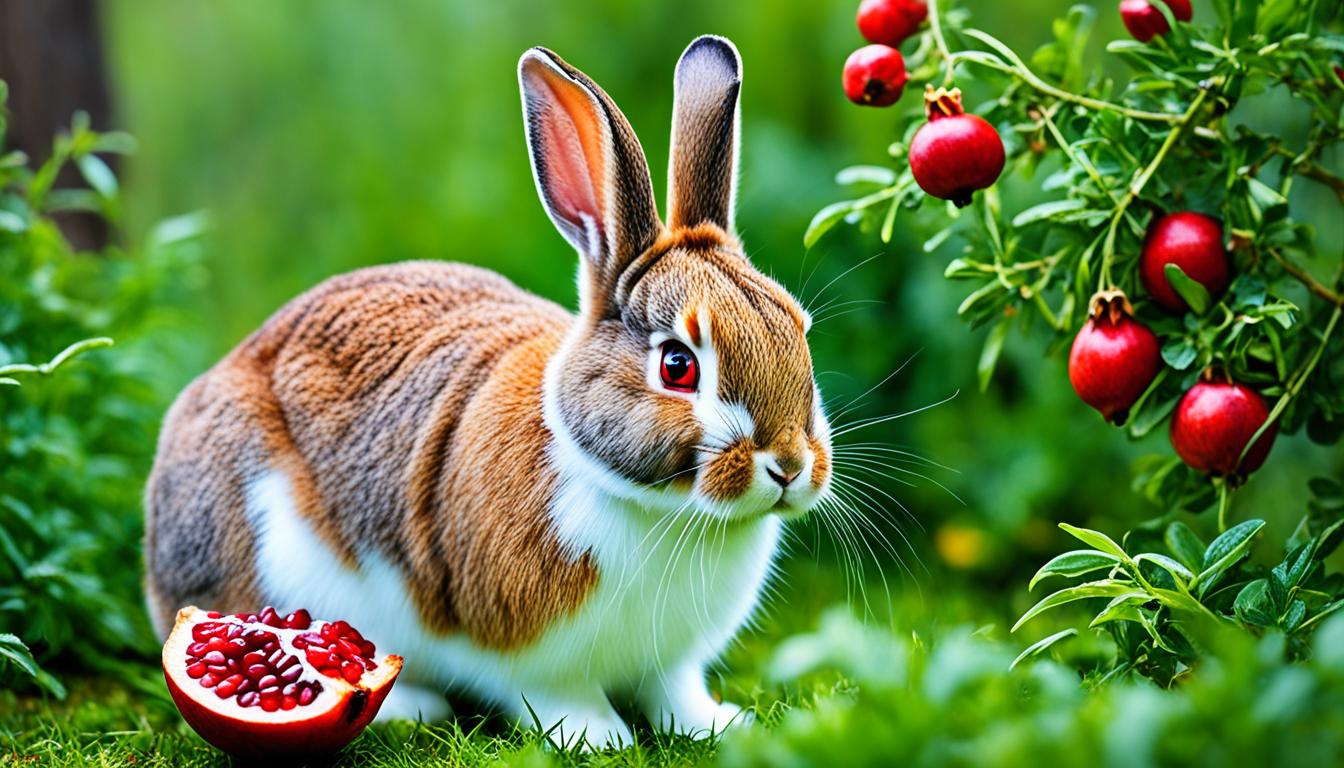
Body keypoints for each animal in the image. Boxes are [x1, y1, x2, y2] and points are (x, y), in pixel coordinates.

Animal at [144, 34, 833, 747]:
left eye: (798, 329)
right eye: (678, 366)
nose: (788, 465)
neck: (662, 509)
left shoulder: (670, 661)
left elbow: (675, 691)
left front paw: (721, 725)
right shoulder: (530, 658)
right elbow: (560, 696)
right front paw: (600, 737)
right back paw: (410, 705)